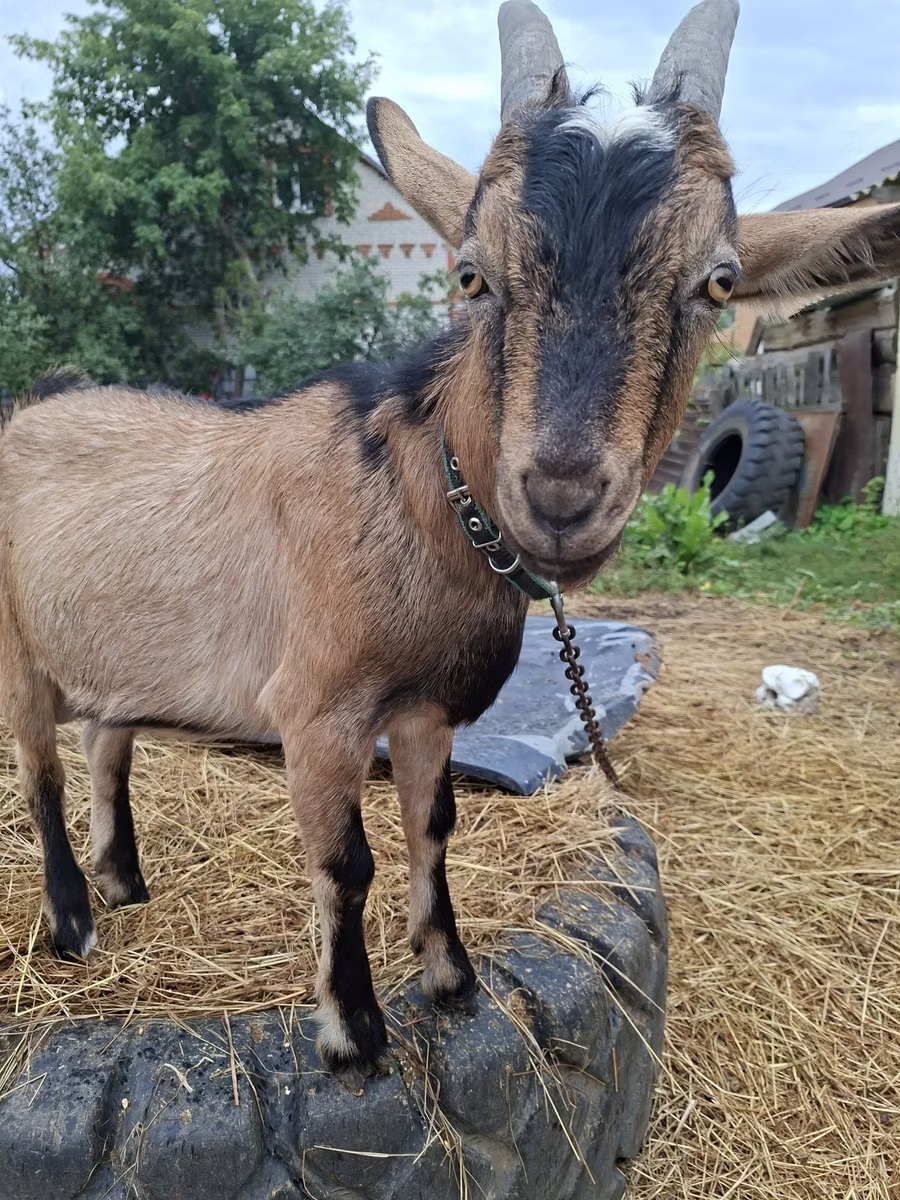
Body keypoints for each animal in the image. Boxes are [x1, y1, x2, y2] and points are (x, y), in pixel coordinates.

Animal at [4, 0, 900, 1075]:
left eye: (719, 284)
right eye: (472, 272)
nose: (561, 492)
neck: (417, 496)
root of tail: (36, 402)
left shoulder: (431, 712)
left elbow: (434, 826)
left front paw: (452, 977)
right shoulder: (319, 712)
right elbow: (345, 862)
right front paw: (354, 1032)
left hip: (117, 649)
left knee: (106, 739)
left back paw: (124, 882)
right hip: (18, 648)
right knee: (42, 772)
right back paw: (72, 921)